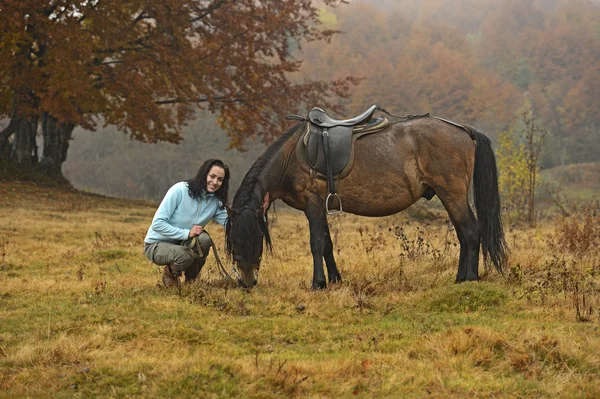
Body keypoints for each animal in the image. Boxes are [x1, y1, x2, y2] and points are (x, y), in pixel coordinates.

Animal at [225, 109, 506, 290]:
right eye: (232, 242)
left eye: (249, 238)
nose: (246, 282)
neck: (291, 156)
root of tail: (464, 130)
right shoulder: (320, 207)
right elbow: (327, 244)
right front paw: (335, 280)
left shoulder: (312, 204)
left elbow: (316, 243)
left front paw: (317, 283)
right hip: (449, 195)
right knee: (463, 234)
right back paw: (459, 278)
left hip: (452, 193)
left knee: (471, 231)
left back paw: (470, 279)